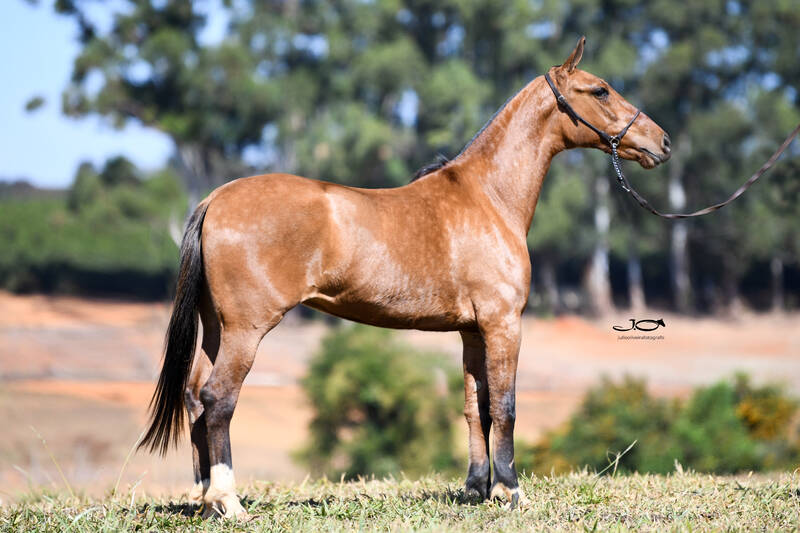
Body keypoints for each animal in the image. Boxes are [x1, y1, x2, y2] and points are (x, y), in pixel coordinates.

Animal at [138, 36, 671, 518]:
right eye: (600, 90)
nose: (661, 142)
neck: (488, 198)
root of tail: (216, 199)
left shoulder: (472, 331)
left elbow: (475, 405)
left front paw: (476, 490)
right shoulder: (503, 323)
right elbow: (505, 406)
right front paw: (510, 492)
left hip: (216, 328)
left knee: (195, 397)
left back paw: (205, 501)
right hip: (246, 329)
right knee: (218, 399)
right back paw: (228, 502)